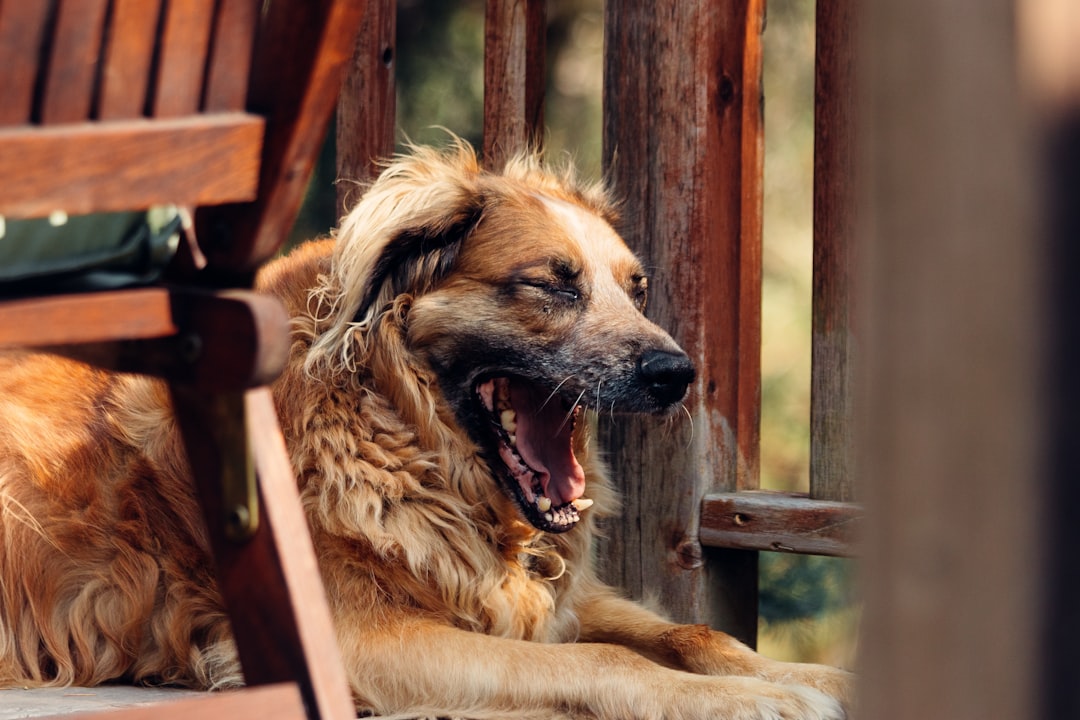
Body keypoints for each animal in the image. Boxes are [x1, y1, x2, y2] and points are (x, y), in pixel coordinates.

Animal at [0, 142, 851, 720]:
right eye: (552, 284)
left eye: (636, 288)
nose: (677, 374)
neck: (400, 438)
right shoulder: (361, 641)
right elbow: (612, 659)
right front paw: (752, 699)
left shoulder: (558, 598)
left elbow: (695, 635)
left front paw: (814, 677)